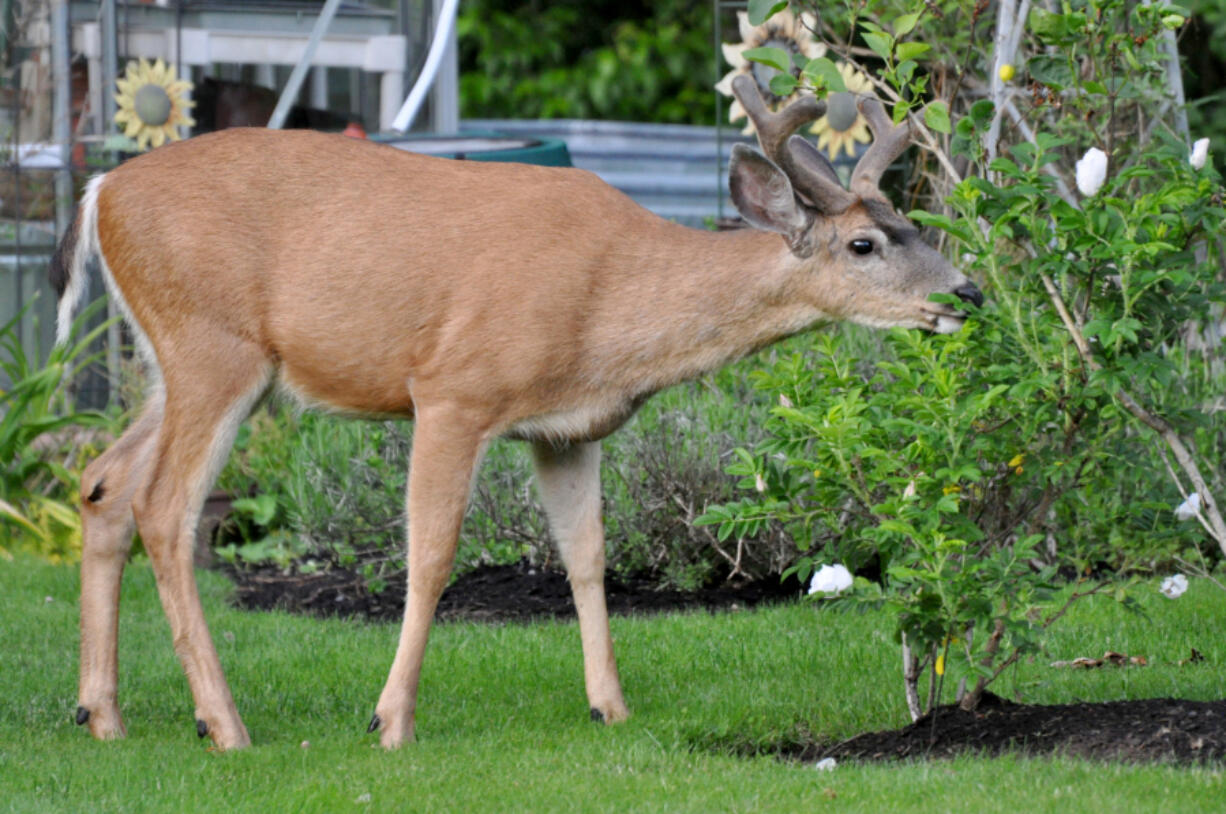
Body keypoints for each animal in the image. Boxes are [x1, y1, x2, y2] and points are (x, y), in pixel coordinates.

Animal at [52, 76, 980, 750]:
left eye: (909, 222)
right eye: (863, 244)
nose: (966, 293)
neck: (612, 305)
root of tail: (99, 191)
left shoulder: (568, 430)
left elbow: (588, 557)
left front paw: (611, 706)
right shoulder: (452, 390)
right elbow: (431, 557)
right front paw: (391, 721)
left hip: (175, 364)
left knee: (102, 484)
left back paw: (102, 714)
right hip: (213, 346)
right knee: (164, 508)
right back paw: (224, 724)